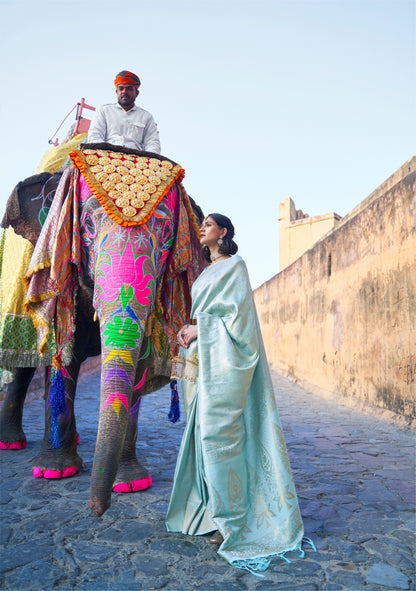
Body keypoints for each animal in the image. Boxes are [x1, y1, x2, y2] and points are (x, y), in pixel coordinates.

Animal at [0, 146, 205, 516]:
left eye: (167, 232)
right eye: (87, 226)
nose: (97, 510)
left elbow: (139, 360)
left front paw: (132, 484)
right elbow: (65, 353)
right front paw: (55, 472)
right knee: (28, 363)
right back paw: (13, 445)